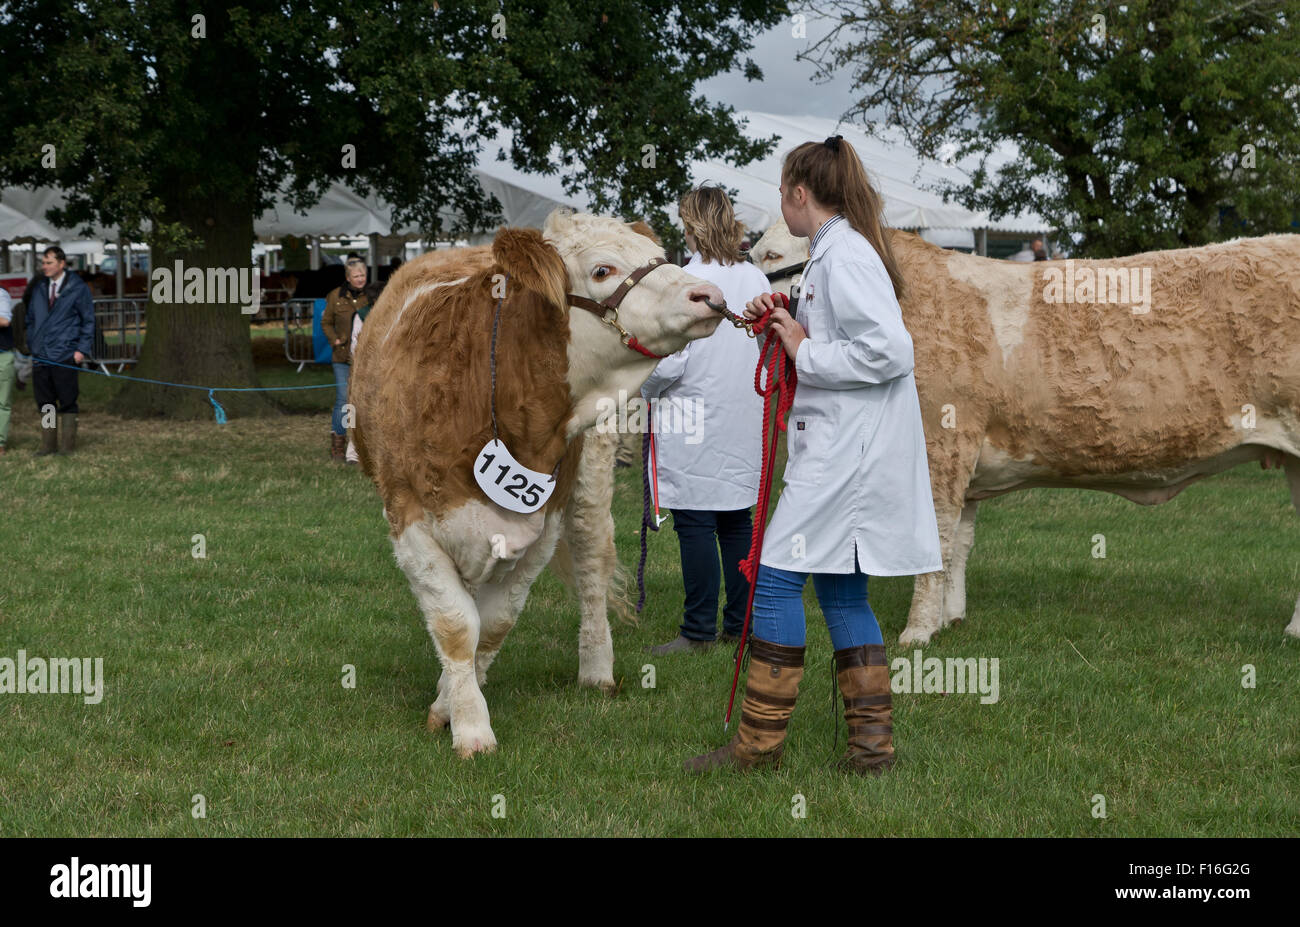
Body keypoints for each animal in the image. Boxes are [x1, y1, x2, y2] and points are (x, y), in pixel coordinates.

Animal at [351, 211, 728, 759]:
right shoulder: (411, 520)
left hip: (589, 482)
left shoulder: (542, 524)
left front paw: (453, 707)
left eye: (659, 256)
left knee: (592, 567)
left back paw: (596, 670)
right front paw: (469, 724)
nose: (710, 294)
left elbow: (493, 625)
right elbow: (457, 625)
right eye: (602, 269)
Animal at [754, 221, 1300, 647]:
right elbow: (962, 540)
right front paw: (951, 617)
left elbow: (938, 538)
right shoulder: (966, 462)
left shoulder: (943, 440)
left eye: (773, 255)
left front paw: (917, 632)